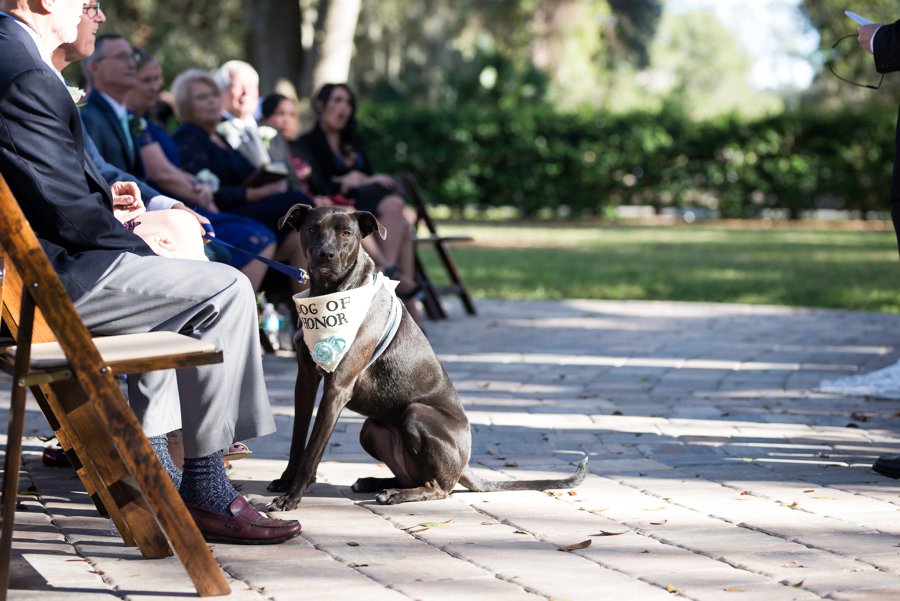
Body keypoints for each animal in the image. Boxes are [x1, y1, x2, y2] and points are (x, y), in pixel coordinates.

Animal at [268, 204, 588, 508]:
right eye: (312, 228)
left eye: (347, 233)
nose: (327, 254)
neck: (329, 295)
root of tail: (465, 465)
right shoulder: (305, 381)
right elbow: (298, 439)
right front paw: (286, 481)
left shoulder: (337, 388)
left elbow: (312, 451)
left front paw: (292, 497)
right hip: (371, 429)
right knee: (413, 476)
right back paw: (376, 483)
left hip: (416, 414)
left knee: (439, 488)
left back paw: (395, 494)